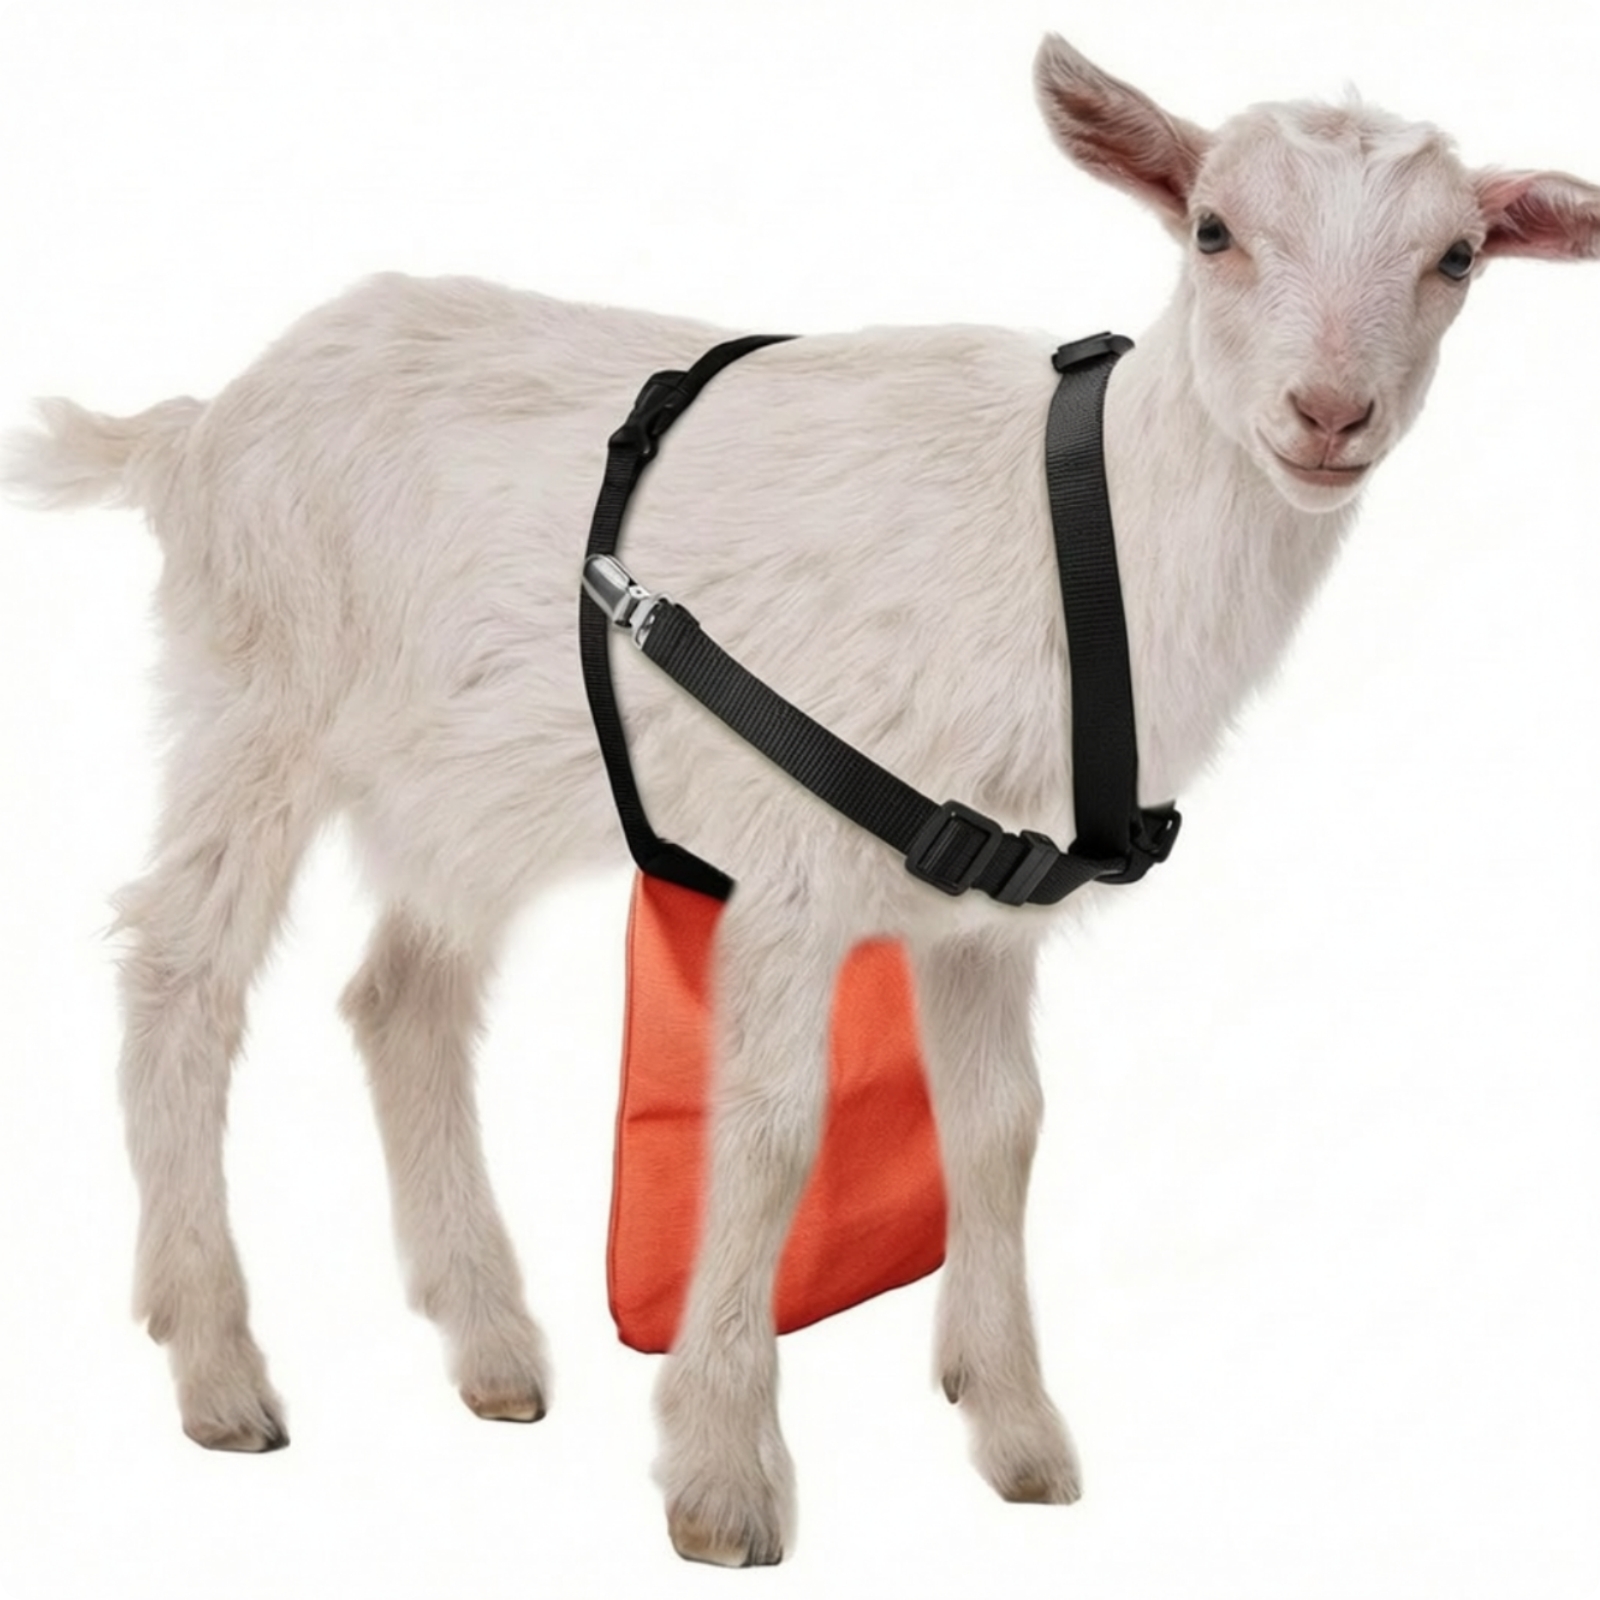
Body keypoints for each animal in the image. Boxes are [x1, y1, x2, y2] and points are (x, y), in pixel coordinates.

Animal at [4, 31, 1598, 1570]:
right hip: (257, 695)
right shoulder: (790, 862)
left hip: (464, 776)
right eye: (1212, 229)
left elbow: (1000, 1130)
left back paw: (492, 1347)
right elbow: (771, 1130)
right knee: (184, 969)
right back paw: (219, 1369)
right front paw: (721, 1479)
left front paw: (1016, 1429)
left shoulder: (982, 913)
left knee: (403, 994)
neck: (1077, 536)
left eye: (1457, 258)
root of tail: (198, 426)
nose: (1330, 414)